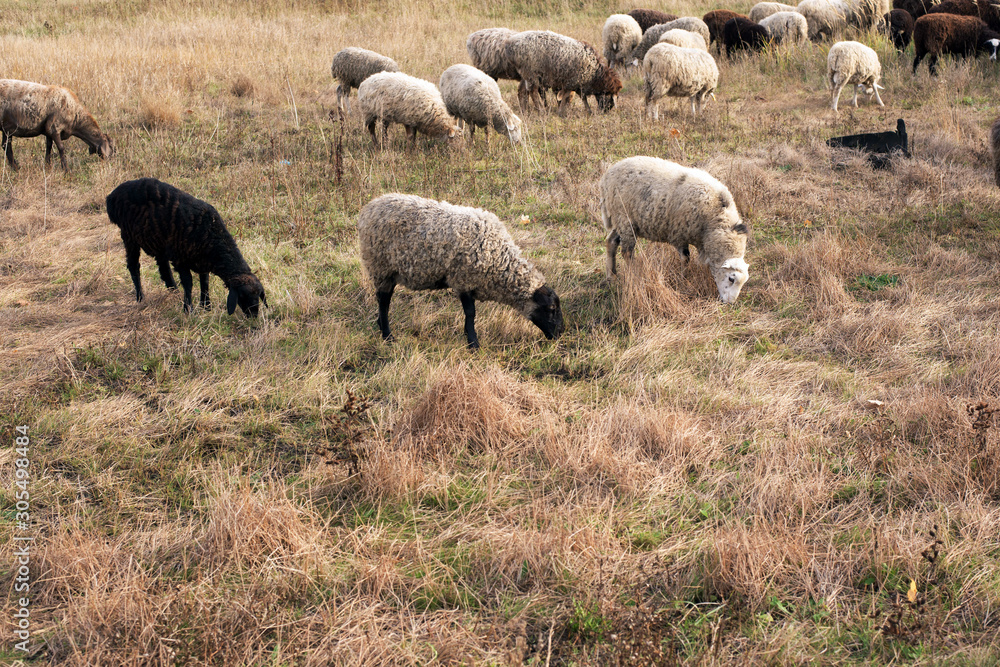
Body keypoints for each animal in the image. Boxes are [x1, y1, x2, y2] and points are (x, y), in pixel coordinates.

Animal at [105, 178, 267, 317]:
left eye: (258, 295)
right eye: (242, 295)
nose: (254, 316)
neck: (211, 232)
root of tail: (112, 196)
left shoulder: (202, 261)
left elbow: (205, 282)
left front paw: (206, 306)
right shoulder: (180, 259)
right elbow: (189, 283)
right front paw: (189, 309)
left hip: (159, 243)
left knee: (163, 268)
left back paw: (174, 293)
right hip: (129, 237)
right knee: (134, 266)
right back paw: (141, 297)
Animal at [357, 193, 564, 349]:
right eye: (551, 308)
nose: (560, 333)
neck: (498, 259)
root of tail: (369, 207)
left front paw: (469, 338)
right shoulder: (463, 279)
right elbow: (471, 313)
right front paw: (473, 343)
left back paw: (381, 327)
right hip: (381, 267)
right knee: (383, 301)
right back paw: (387, 336)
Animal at [599, 156, 750, 303]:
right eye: (731, 278)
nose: (730, 303)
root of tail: (607, 177)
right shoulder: (679, 234)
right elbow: (685, 258)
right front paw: (683, 279)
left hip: (620, 221)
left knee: (611, 242)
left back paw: (611, 277)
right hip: (624, 218)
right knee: (627, 252)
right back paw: (635, 276)